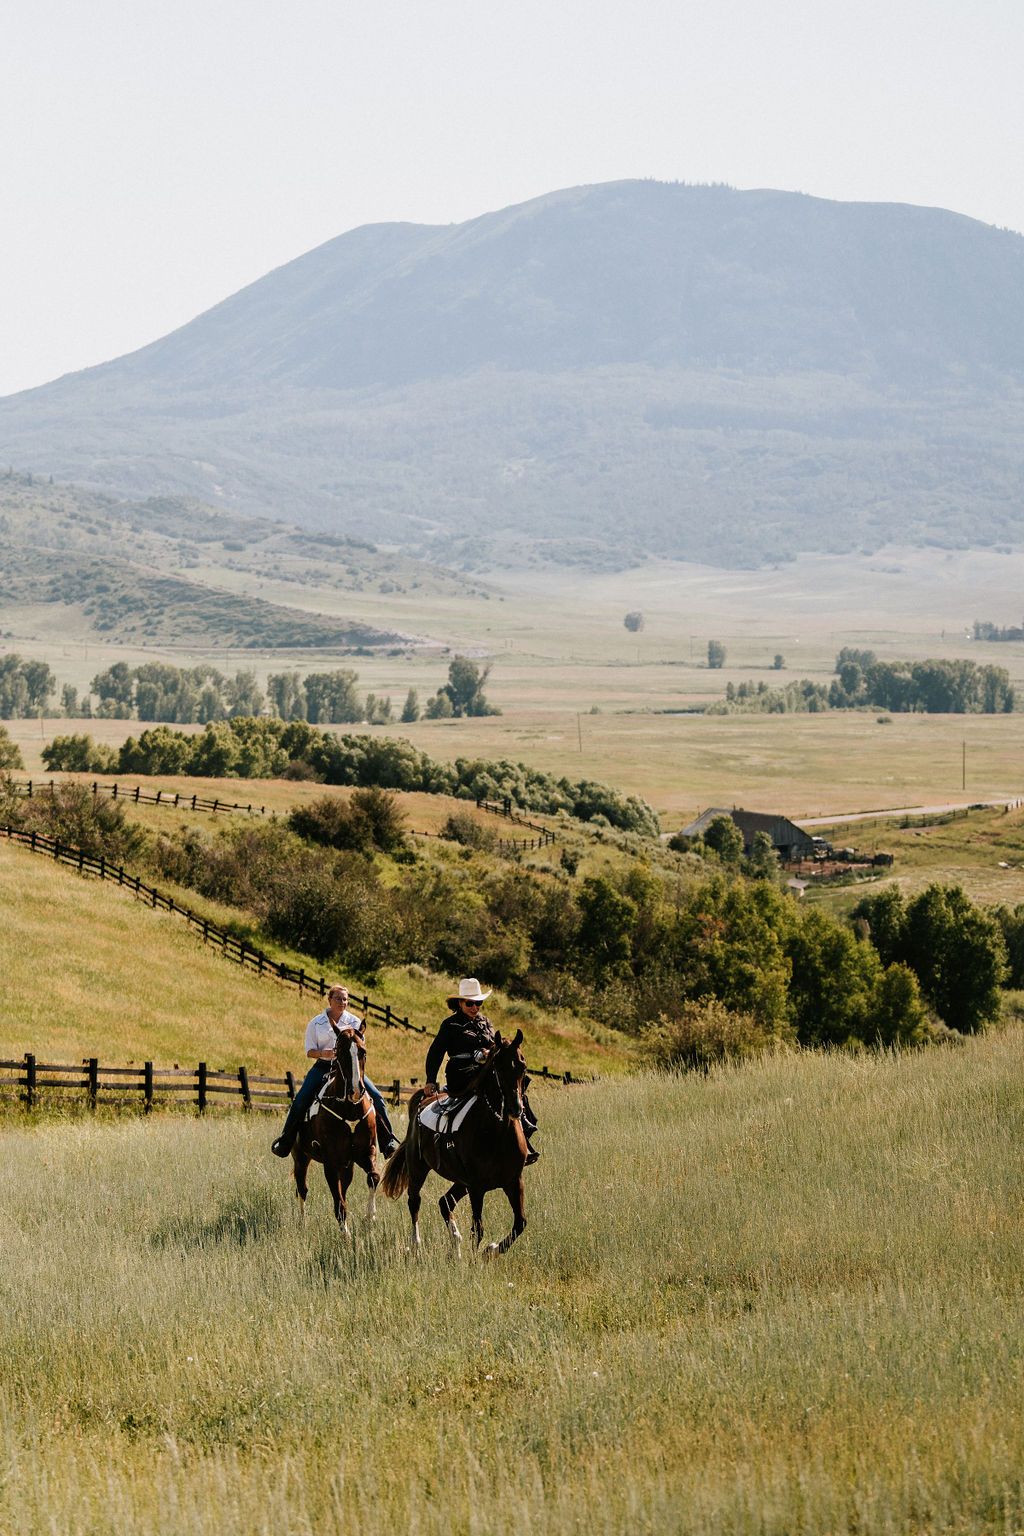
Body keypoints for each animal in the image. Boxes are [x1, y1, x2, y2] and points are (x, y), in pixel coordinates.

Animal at [291, 1019, 380, 1234]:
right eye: (339, 1052)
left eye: (363, 1051)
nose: (355, 1090)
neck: (350, 1110)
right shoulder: (330, 1162)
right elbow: (339, 1202)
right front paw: (345, 1234)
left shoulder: (366, 1152)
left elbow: (374, 1177)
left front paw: (370, 1217)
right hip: (300, 1158)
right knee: (302, 1189)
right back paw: (302, 1223)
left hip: (346, 1166)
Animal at [380, 1026, 534, 1253]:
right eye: (498, 1066)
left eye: (523, 1066)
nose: (516, 1108)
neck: (497, 1131)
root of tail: (421, 1100)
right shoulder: (477, 1187)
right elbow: (478, 1230)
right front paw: (480, 1255)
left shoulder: (514, 1181)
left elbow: (520, 1223)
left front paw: (492, 1250)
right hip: (418, 1168)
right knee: (414, 1201)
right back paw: (416, 1243)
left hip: (460, 1181)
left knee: (445, 1202)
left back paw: (456, 1243)